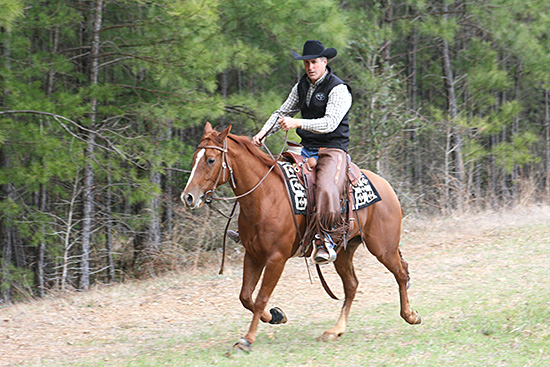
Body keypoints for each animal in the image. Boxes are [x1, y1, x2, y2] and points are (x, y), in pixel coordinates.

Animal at [182, 123, 422, 354]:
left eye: (211, 160)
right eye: (194, 158)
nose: (188, 197)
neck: (265, 197)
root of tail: (385, 185)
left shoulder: (276, 259)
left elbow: (260, 299)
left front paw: (246, 340)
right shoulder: (253, 255)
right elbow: (246, 297)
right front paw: (276, 316)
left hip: (383, 247)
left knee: (401, 273)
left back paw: (410, 315)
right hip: (344, 252)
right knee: (352, 285)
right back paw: (336, 330)